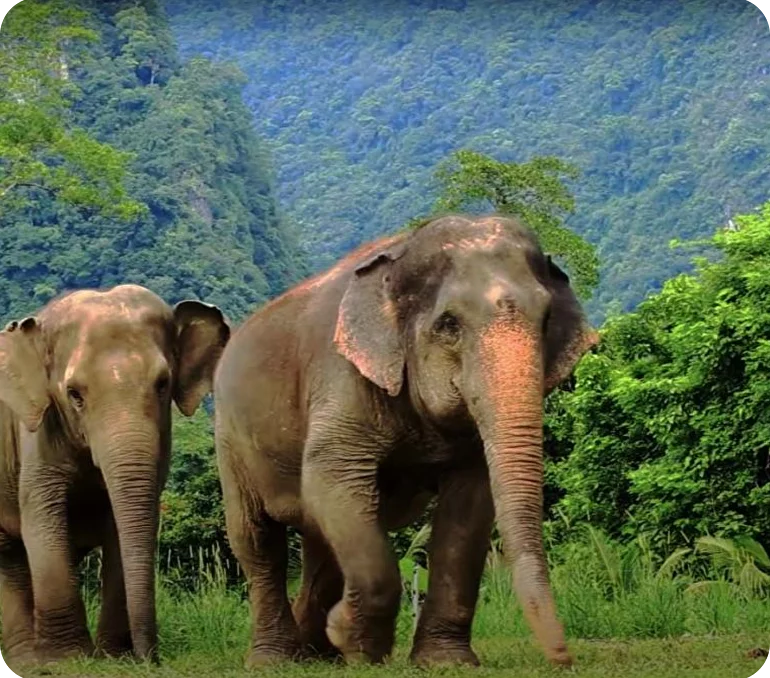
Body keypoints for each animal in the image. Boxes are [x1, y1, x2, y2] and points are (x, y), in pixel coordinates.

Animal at [0, 284, 230, 669]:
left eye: (163, 384)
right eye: (73, 394)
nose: (151, 660)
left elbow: (122, 524)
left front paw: (114, 657)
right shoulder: (37, 433)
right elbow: (43, 519)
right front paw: (65, 660)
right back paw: (27, 661)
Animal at [214, 214, 598, 669]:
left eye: (546, 319)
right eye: (449, 324)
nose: (563, 657)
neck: (402, 250)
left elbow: (468, 509)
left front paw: (445, 661)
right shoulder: (341, 377)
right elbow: (332, 476)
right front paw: (357, 643)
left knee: (320, 540)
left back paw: (318, 654)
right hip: (230, 440)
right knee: (257, 541)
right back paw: (276, 659)